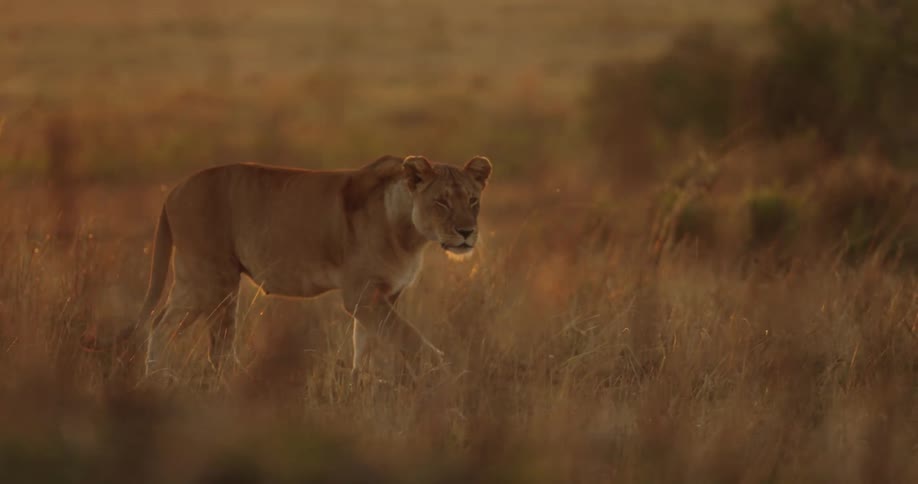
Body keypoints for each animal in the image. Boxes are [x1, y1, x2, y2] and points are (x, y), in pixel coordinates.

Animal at [104, 154, 492, 379]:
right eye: (442, 201)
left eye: (473, 200)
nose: (466, 232)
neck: (410, 234)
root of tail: (173, 191)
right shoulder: (361, 295)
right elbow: (411, 338)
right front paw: (444, 372)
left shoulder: (383, 295)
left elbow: (365, 344)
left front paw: (362, 385)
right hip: (213, 282)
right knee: (206, 341)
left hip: (194, 281)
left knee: (162, 323)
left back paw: (159, 377)